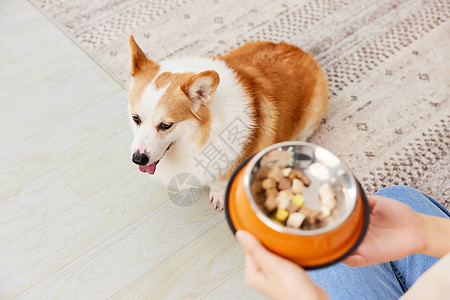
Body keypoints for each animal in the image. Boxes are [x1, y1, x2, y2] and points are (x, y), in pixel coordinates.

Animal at [126, 35, 326, 211]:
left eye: (166, 125)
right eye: (136, 118)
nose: (137, 159)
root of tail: (300, 51)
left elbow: (221, 181)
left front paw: (219, 196)